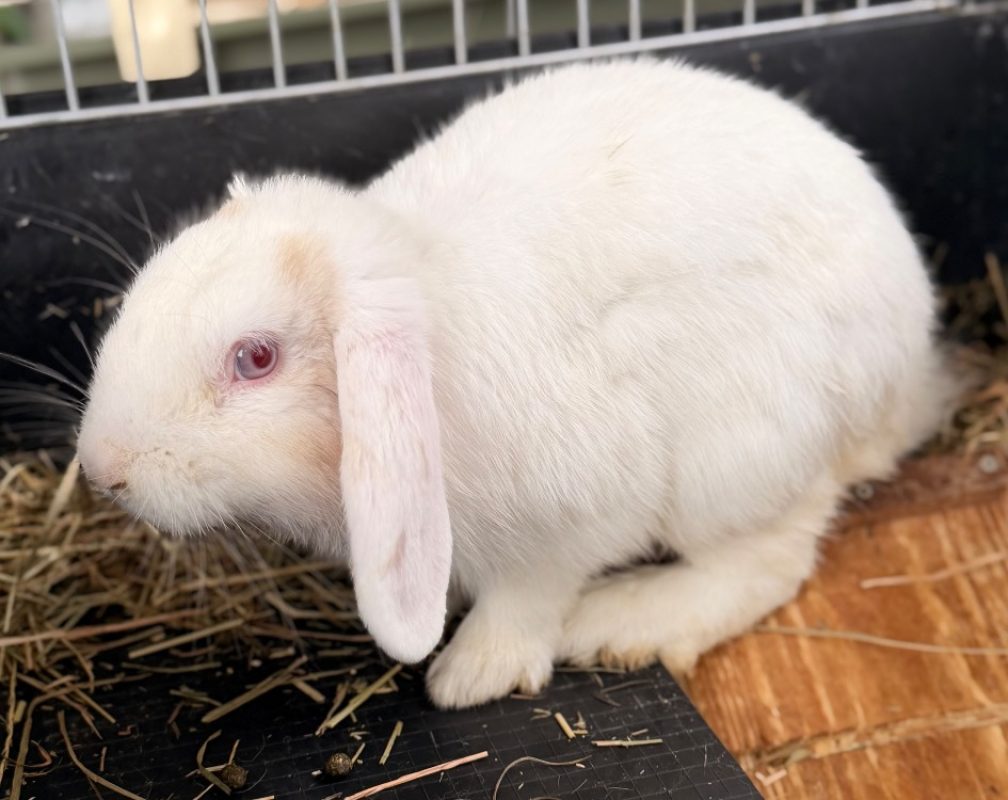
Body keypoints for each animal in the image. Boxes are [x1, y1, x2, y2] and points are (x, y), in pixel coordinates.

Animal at [76, 57, 958, 709]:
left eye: (255, 359)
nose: (102, 469)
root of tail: (910, 356)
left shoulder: (577, 519)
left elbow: (530, 594)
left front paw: (468, 676)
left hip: (741, 456)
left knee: (773, 558)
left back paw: (623, 622)